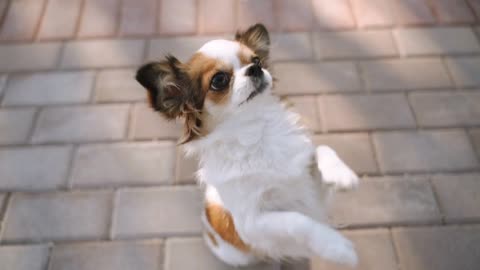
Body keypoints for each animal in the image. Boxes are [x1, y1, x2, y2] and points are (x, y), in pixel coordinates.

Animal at [136, 23, 360, 268]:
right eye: (219, 80)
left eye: (257, 60)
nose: (255, 69)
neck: (255, 132)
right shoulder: (252, 224)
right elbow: (297, 221)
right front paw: (337, 248)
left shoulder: (313, 194)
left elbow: (322, 149)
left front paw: (340, 174)